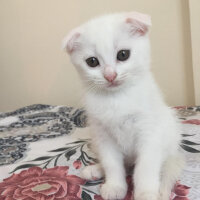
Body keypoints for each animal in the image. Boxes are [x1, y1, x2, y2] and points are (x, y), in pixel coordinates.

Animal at [64, 12, 184, 200]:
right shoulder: (103, 136)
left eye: (122, 55)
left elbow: (146, 168)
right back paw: (95, 170)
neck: (117, 98)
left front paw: (146, 193)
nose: (110, 75)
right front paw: (115, 186)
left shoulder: (149, 134)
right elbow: (112, 163)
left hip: (170, 138)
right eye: (92, 61)